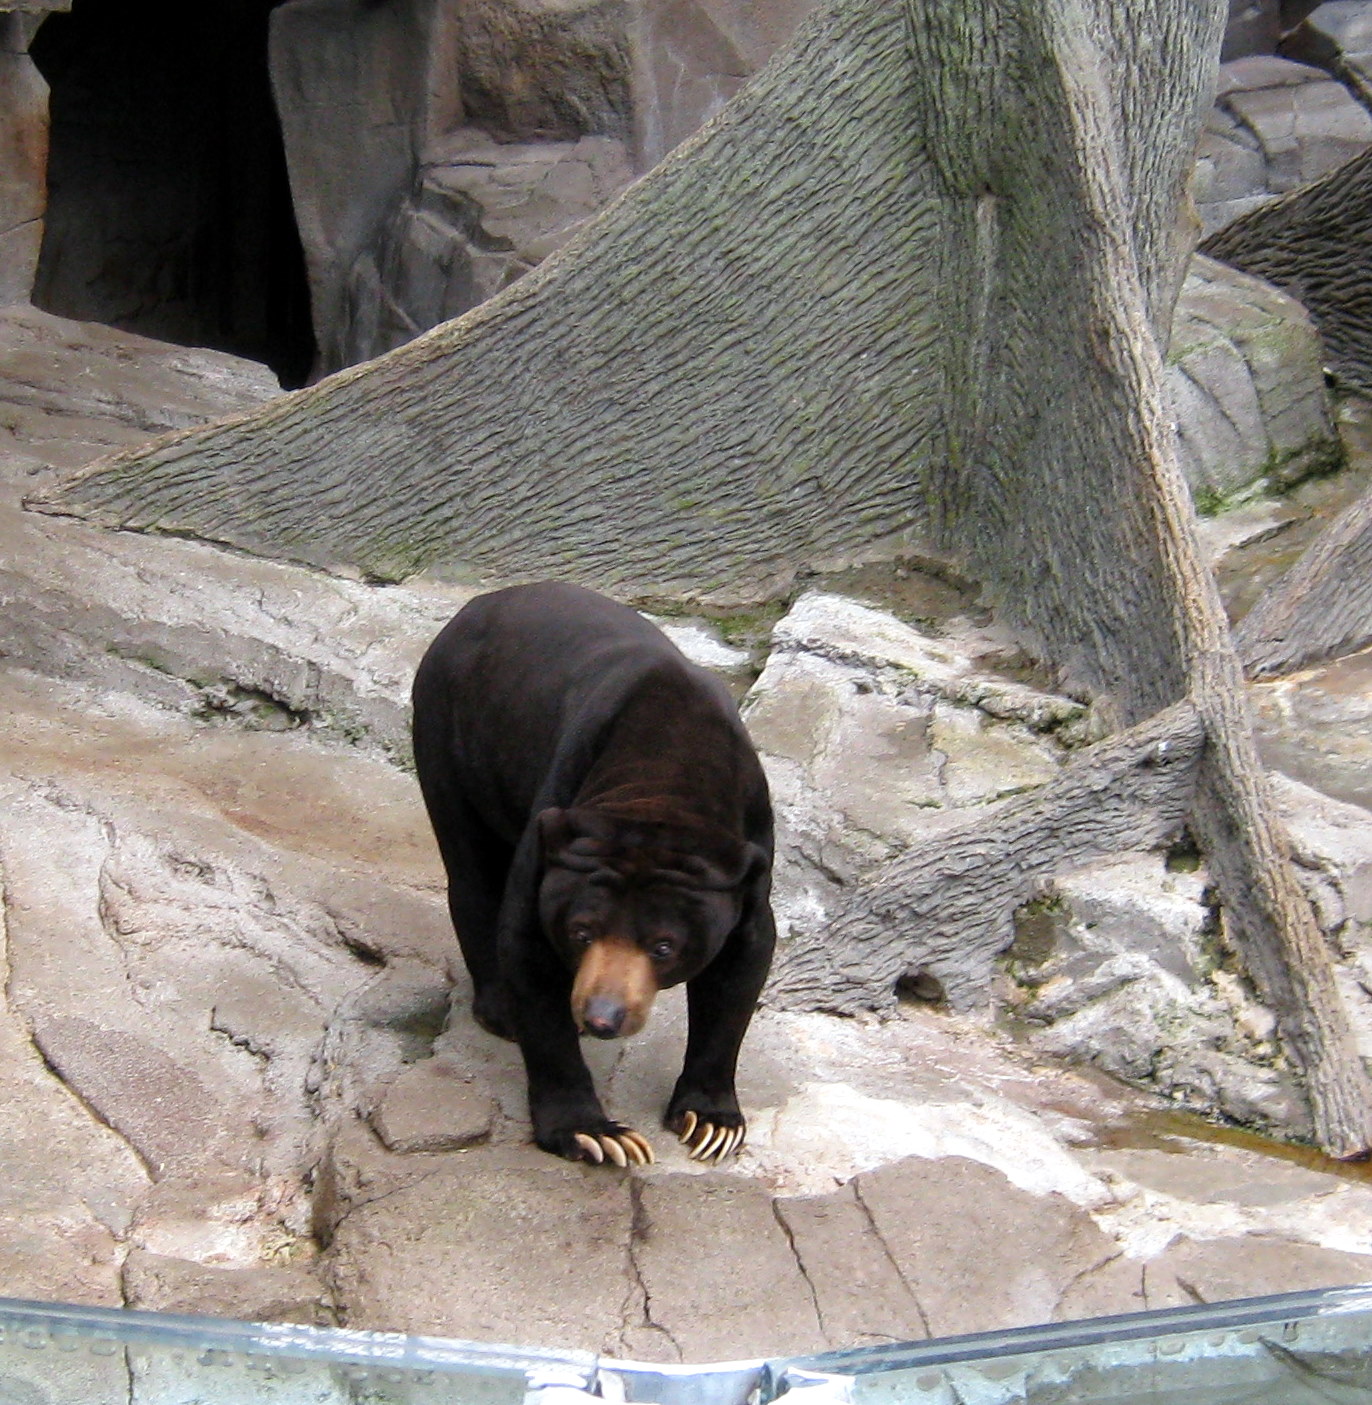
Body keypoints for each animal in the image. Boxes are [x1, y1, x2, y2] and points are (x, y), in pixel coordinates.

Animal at [411, 581, 776, 1167]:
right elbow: (527, 942)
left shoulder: (750, 848)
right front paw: (598, 1135)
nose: (603, 1018)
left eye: (664, 946)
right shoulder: (559, 809)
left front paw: (710, 1124)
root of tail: (480, 602)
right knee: (472, 869)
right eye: (581, 932)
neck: (668, 771)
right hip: (448, 729)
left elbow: (742, 963)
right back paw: (500, 1008)